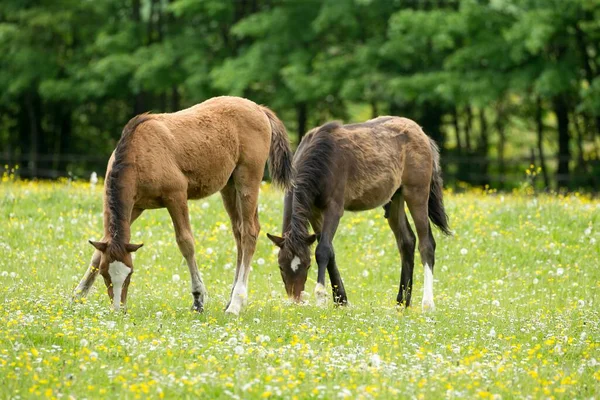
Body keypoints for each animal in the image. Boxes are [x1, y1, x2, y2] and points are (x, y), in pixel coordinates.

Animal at [74, 95, 292, 314]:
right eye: (105, 275)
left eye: (130, 275)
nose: (119, 309)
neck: (138, 153)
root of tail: (259, 109)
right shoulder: (135, 207)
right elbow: (98, 250)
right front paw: (77, 296)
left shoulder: (176, 196)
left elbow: (186, 242)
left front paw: (198, 299)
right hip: (229, 186)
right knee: (239, 232)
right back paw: (230, 300)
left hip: (247, 179)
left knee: (249, 232)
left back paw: (236, 304)